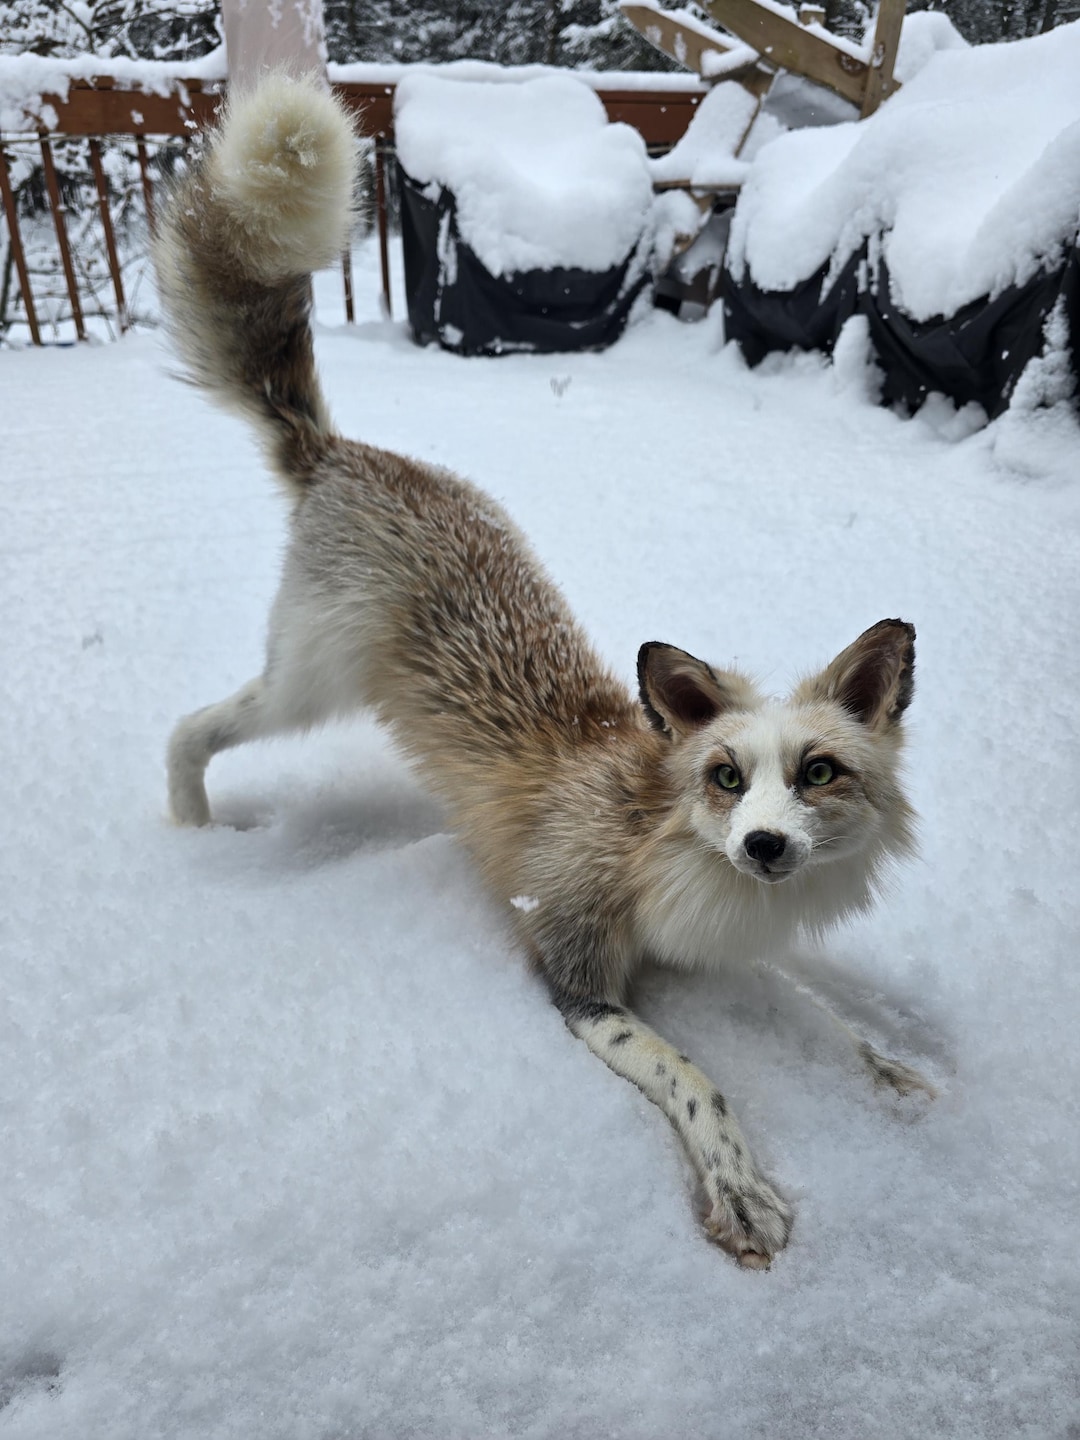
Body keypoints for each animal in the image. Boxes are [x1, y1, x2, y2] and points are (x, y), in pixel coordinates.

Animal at [154, 75, 933, 1268]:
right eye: (725, 776)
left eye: (817, 774)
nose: (763, 845)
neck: (659, 848)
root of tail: (347, 454)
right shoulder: (570, 972)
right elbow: (696, 1079)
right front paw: (738, 1186)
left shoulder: (718, 943)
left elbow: (810, 1007)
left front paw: (885, 1065)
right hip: (302, 687)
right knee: (187, 729)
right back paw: (194, 838)